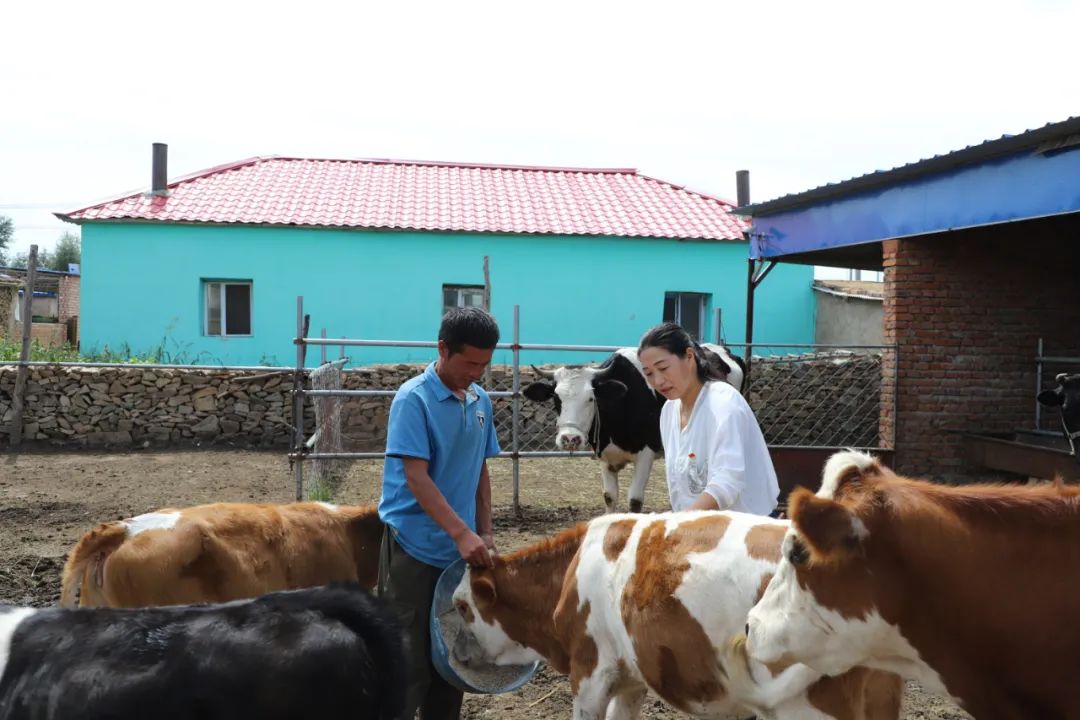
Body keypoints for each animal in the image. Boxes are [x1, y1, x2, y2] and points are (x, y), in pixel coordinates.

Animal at [527, 343, 747, 511]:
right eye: (556, 398)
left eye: (591, 398)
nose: (570, 439)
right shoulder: (605, 457)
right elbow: (609, 497)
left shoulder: (645, 455)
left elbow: (634, 500)